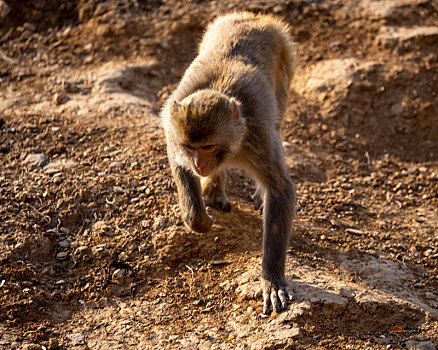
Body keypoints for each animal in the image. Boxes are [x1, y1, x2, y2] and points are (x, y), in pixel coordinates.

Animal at [162, 13, 298, 314]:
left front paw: (271, 278)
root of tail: (252, 17)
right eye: (191, 147)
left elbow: (281, 190)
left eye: (208, 147)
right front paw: (199, 219)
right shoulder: (173, 131)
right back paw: (213, 190)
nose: (200, 165)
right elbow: (179, 165)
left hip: (285, 63)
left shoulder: (258, 137)